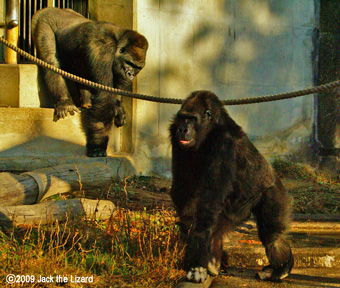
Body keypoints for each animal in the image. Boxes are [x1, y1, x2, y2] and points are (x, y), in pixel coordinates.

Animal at [31, 8, 147, 158]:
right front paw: (97, 144)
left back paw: (85, 101)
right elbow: (105, 98)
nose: (131, 74)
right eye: (129, 63)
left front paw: (118, 108)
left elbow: (116, 90)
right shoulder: (103, 49)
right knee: (51, 60)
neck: (118, 41)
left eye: (137, 67)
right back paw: (65, 102)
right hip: (42, 20)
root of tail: (52, 9)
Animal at [171, 91, 294, 284]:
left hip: (273, 192)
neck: (210, 129)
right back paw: (214, 262)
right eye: (182, 118)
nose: (183, 129)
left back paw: (281, 269)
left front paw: (196, 259)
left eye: (191, 119)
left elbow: (210, 200)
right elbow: (183, 190)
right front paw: (189, 237)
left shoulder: (224, 142)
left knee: (272, 235)